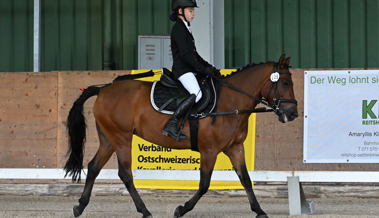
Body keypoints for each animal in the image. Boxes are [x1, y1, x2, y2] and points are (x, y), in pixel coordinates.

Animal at [63, 53, 298, 217]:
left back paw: (79, 207)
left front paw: (260, 211)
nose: (293, 113)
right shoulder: (209, 150)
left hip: (108, 139)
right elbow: (204, 184)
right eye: (285, 83)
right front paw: (181, 209)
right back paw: (145, 211)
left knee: (94, 167)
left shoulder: (235, 148)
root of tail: (103, 89)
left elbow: (246, 180)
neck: (230, 102)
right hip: (121, 138)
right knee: (125, 174)